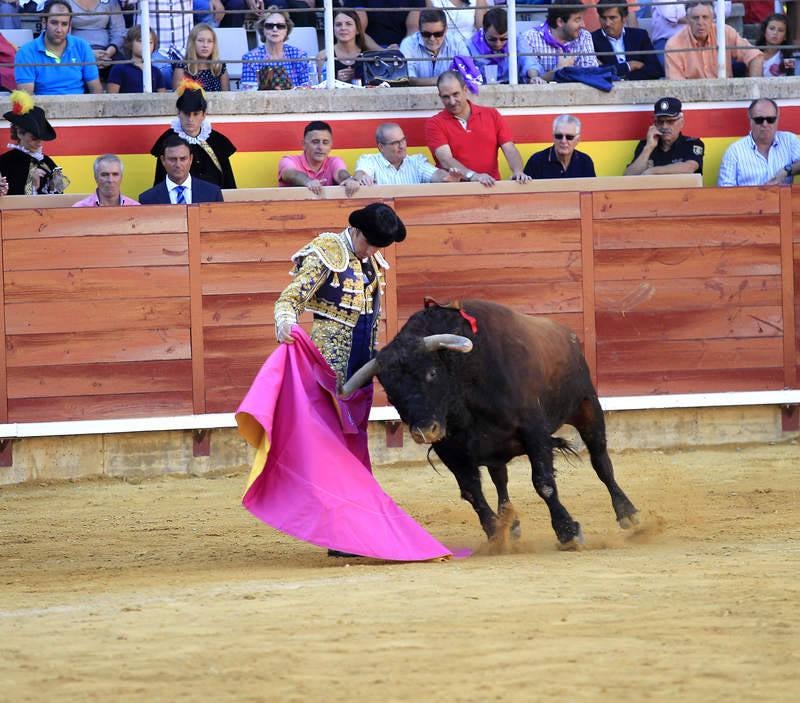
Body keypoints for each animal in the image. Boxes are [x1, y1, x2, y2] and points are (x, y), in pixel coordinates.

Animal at [340, 296, 640, 552]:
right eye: (390, 392)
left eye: (432, 373)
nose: (425, 432)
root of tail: (569, 336)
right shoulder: (451, 450)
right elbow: (472, 492)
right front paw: (496, 534)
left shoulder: (534, 431)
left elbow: (543, 482)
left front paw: (567, 532)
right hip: (496, 448)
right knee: (500, 479)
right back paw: (511, 522)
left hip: (587, 406)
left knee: (601, 461)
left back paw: (628, 514)